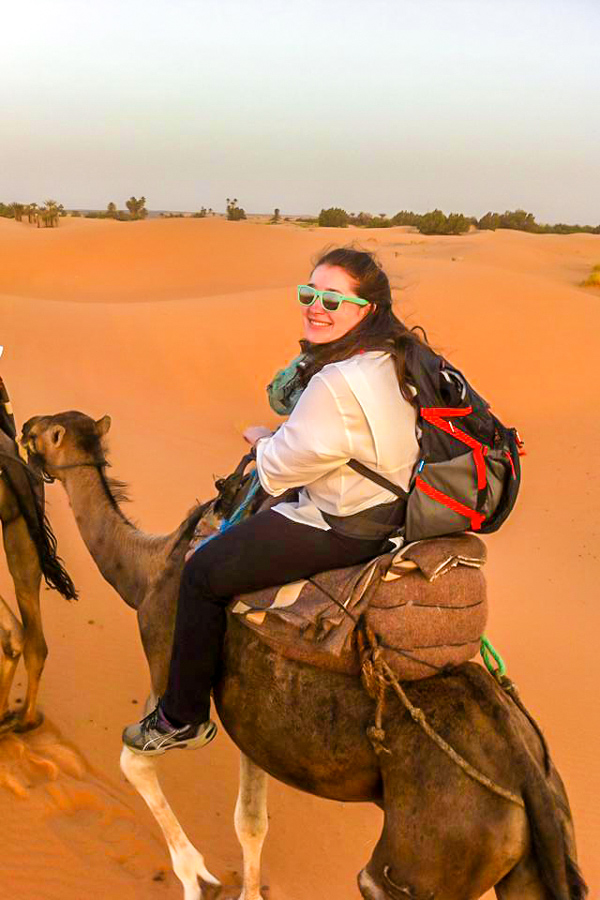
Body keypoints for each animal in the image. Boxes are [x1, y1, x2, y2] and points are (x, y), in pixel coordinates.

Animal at [21, 408, 588, 900]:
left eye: (44, 434)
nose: (22, 423)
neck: (148, 568)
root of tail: (528, 775)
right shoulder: (256, 728)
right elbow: (250, 822)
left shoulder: (166, 653)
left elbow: (135, 761)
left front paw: (195, 878)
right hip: (527, 857)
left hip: (427, 859)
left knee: (378, 881)